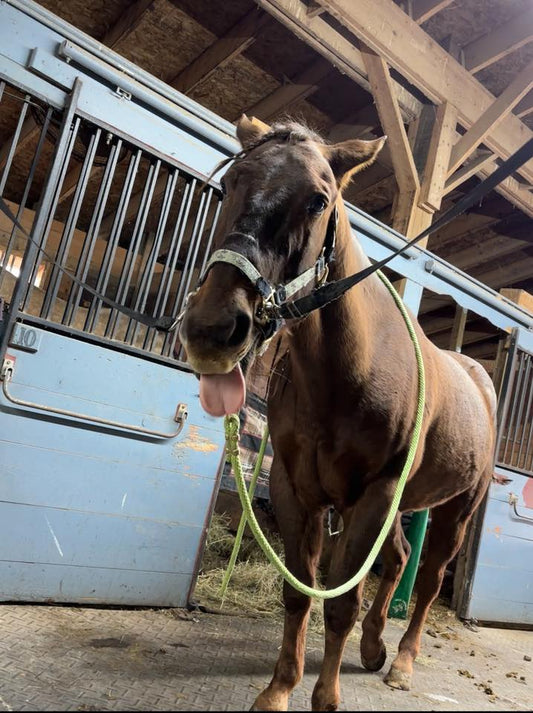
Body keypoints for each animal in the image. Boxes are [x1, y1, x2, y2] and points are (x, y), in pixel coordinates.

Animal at [178, 115, 497, 711]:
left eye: (317, 201)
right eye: (231, 182)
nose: (212, 329)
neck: (349, 370)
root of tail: (481, 381)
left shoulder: (374, 494)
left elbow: (340, 602)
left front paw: (324, 697)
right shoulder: (296, 488)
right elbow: (298, 592)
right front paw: (280, 688)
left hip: (454, 511)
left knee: (428, 580)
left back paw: (402, 663)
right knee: (399, 558)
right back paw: (373, 648)